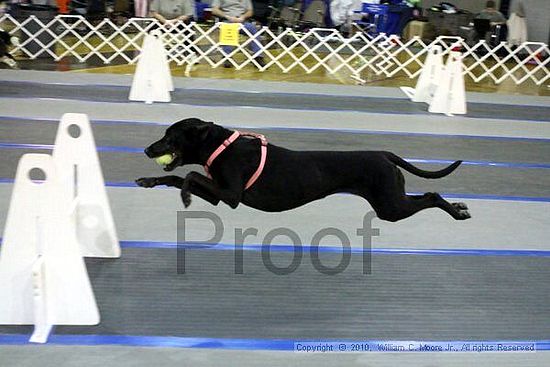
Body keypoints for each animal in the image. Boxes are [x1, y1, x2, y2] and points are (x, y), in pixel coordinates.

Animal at [136, 118, 472, 221]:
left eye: (170, 136)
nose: (148, 149)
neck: (221, 145)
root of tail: (384, 154)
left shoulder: (231, 195)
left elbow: (189, 175)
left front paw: (185, 197)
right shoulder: (219, 195)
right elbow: (177, 175)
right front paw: (149, 180)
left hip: (390, 205)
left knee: (431, 195)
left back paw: (457, 212)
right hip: (391, 198)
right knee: (425, 195)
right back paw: (459, 205)